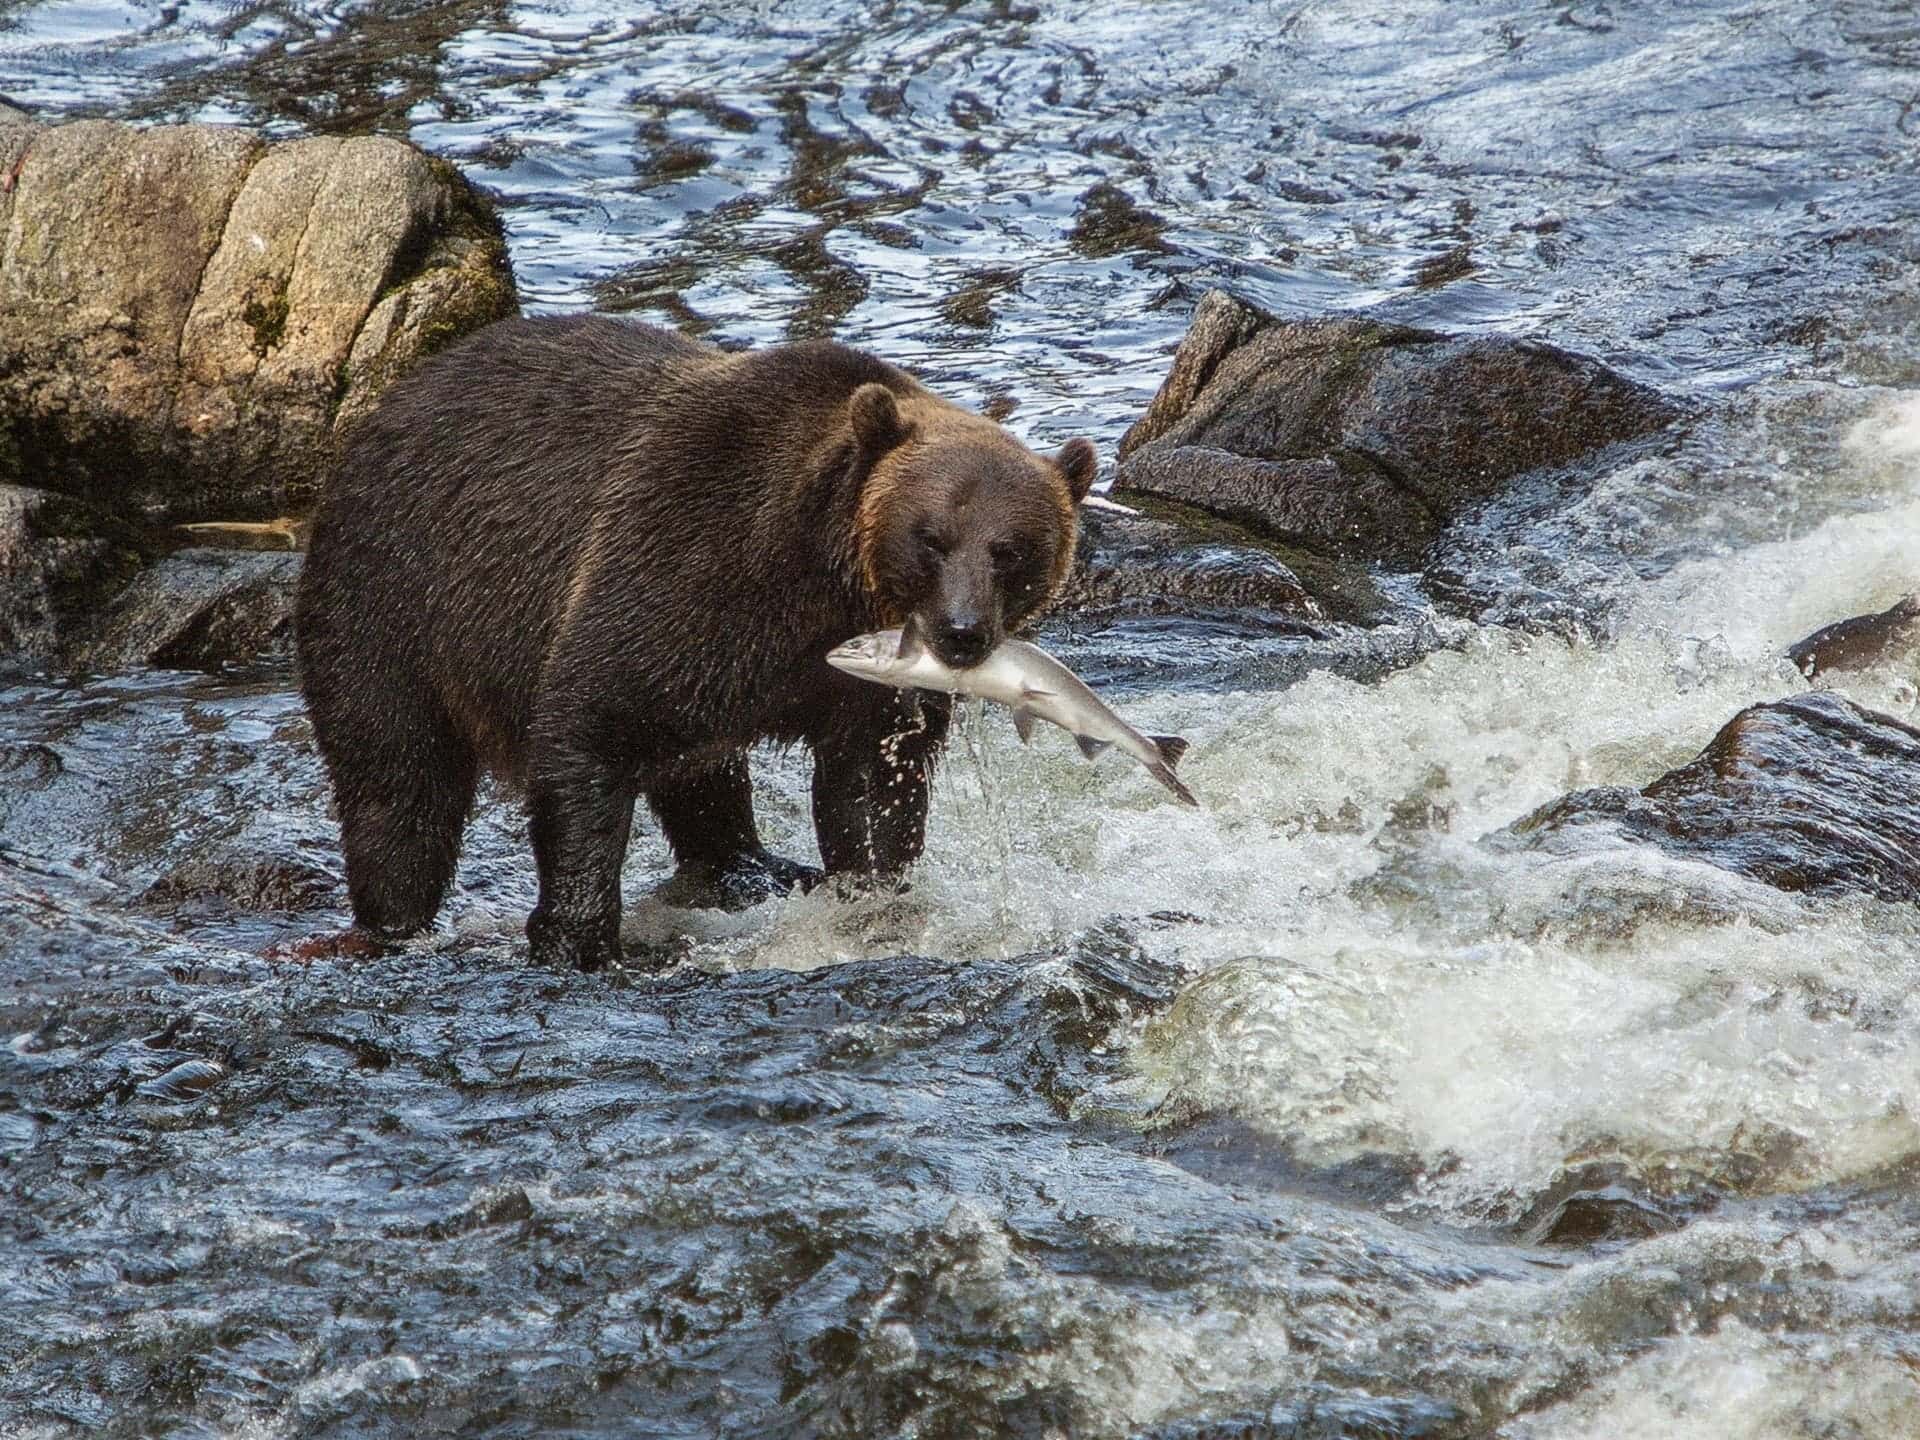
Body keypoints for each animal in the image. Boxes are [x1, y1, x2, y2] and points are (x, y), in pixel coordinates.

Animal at [294, 315, 1096, 971]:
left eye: (1011, 551)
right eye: (931, 538)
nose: (961, 634)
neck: (823, 580)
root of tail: (383, 409)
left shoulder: (858, 682)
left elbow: (872, 785)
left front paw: (871, 891)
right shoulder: (689, 555)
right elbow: (590, 725)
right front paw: (577, 937)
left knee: (702, 769)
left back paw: (753, 866)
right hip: (394, 597)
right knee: (396, 774)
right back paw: (395, 918)